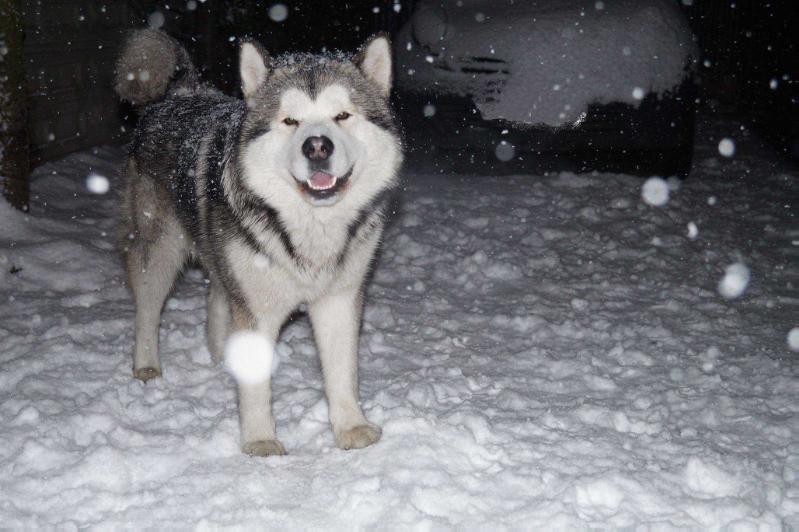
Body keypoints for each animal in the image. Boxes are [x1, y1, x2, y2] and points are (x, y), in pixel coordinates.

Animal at [115, 29, 404, 456]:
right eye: (290, 120)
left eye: (342, 116)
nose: (317, 146)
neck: (309, 226)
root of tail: (181, 93)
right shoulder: (256, 309)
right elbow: (256, 384)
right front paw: (260, 441)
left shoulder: (339, 298)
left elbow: (342, 373)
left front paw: (351, 427)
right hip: (161, 251)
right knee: (148, 311)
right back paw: (147, 366)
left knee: (216, 299)